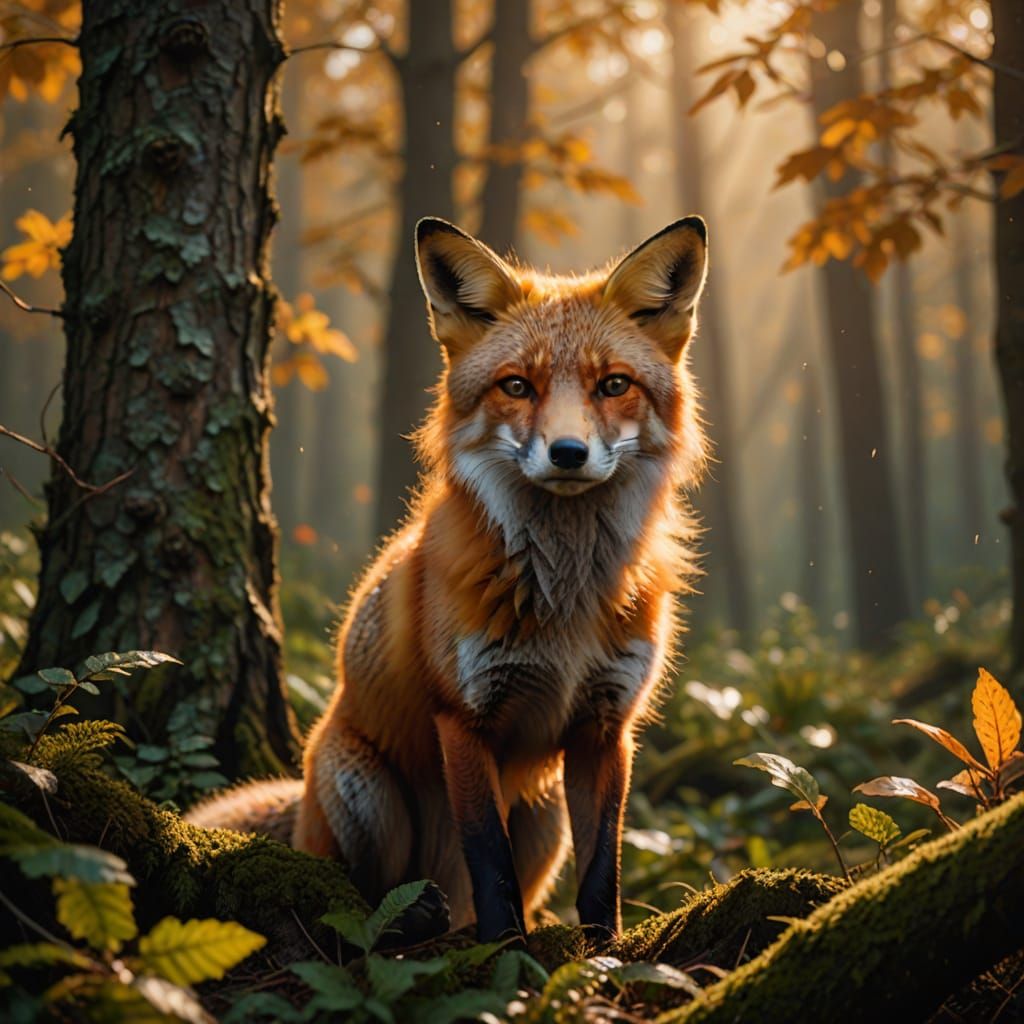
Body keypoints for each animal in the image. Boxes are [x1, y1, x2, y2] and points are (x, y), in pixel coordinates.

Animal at [187, 215, 709, 943]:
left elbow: (601, 874)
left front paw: (604, 953)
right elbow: (489, 864)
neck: (565, 601)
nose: (568, 453)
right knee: (361, 892)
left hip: (546, 817)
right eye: (517, 386)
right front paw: (507, 956)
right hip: (362, 789)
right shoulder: (463, 717)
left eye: (613, 385)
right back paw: (415, 915)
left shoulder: (606, 727)